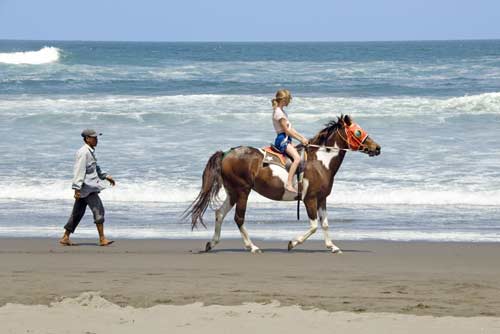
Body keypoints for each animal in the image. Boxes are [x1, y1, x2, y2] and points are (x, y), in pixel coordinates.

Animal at [186, 115, 380, 253]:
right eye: (358, 132)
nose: (377, 148)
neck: (320, 161)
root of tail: (226, 153)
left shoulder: (322, 199)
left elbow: (324, 224)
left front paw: (332, 246)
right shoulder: (309, 199)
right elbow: (314, 226)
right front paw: (292, 243)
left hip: (232, 192)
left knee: (219, 214)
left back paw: (212, 243)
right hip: (242, 191)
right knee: (238, 218)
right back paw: (252, 247)